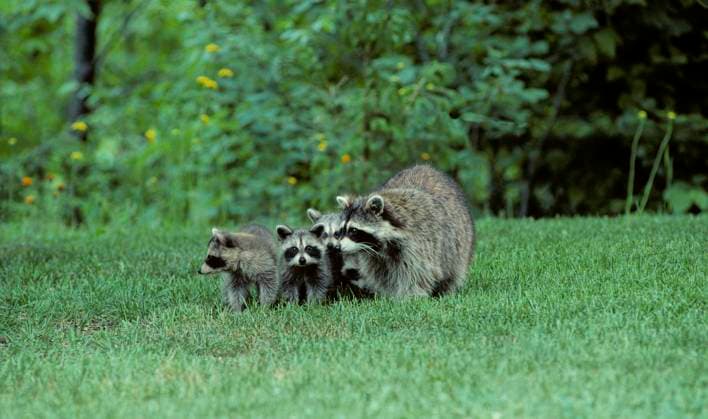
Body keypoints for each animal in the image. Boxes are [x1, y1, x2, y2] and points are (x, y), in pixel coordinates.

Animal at [336, 164, 475, 297]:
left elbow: (416, 273)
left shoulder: (419, 242)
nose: (337, 247)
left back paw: (447, 289)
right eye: (341, 230)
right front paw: (388, 294)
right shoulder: (374, 256)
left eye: (353, 230)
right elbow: (381, 274)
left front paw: (409, 296)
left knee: (453, 268)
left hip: (458, 241)